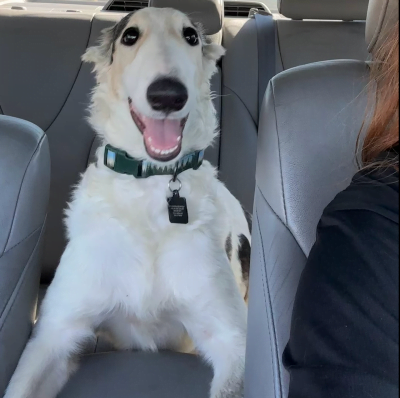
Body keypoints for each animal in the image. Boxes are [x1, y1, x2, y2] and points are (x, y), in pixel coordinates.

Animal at [3, 7, 250, 398]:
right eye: (130, 36)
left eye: (191, 36)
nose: (168, 95)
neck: (151, 186)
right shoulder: (55, 333)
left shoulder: (233, 339)